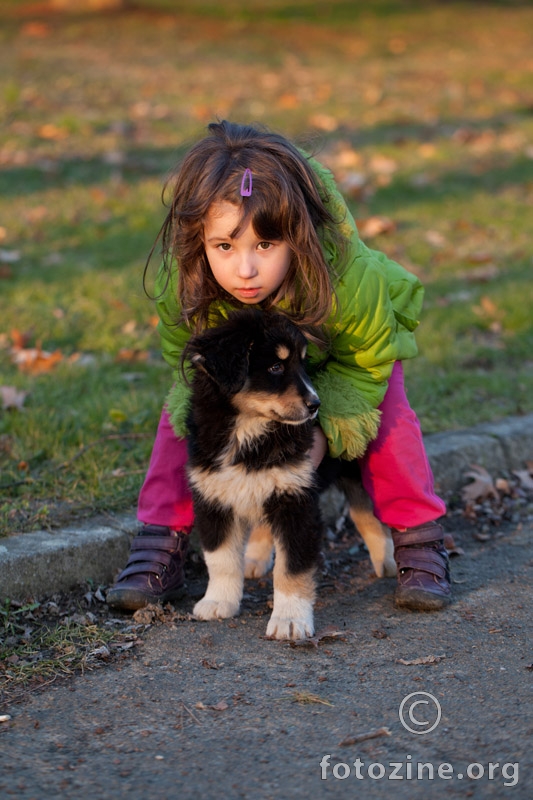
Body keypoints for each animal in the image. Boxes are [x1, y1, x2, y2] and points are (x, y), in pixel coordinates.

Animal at [184, 310, 394, 640]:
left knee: (366, 511)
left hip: (352, 464)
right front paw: (218, 601)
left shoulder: (296, 499)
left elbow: (291, 568)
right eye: (275, 366)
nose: (316, 405)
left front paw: (289, 620)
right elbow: (220, 558)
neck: (248, 431)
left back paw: (386, 560)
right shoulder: (214, 495)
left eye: (302, 365)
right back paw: (254, 558)